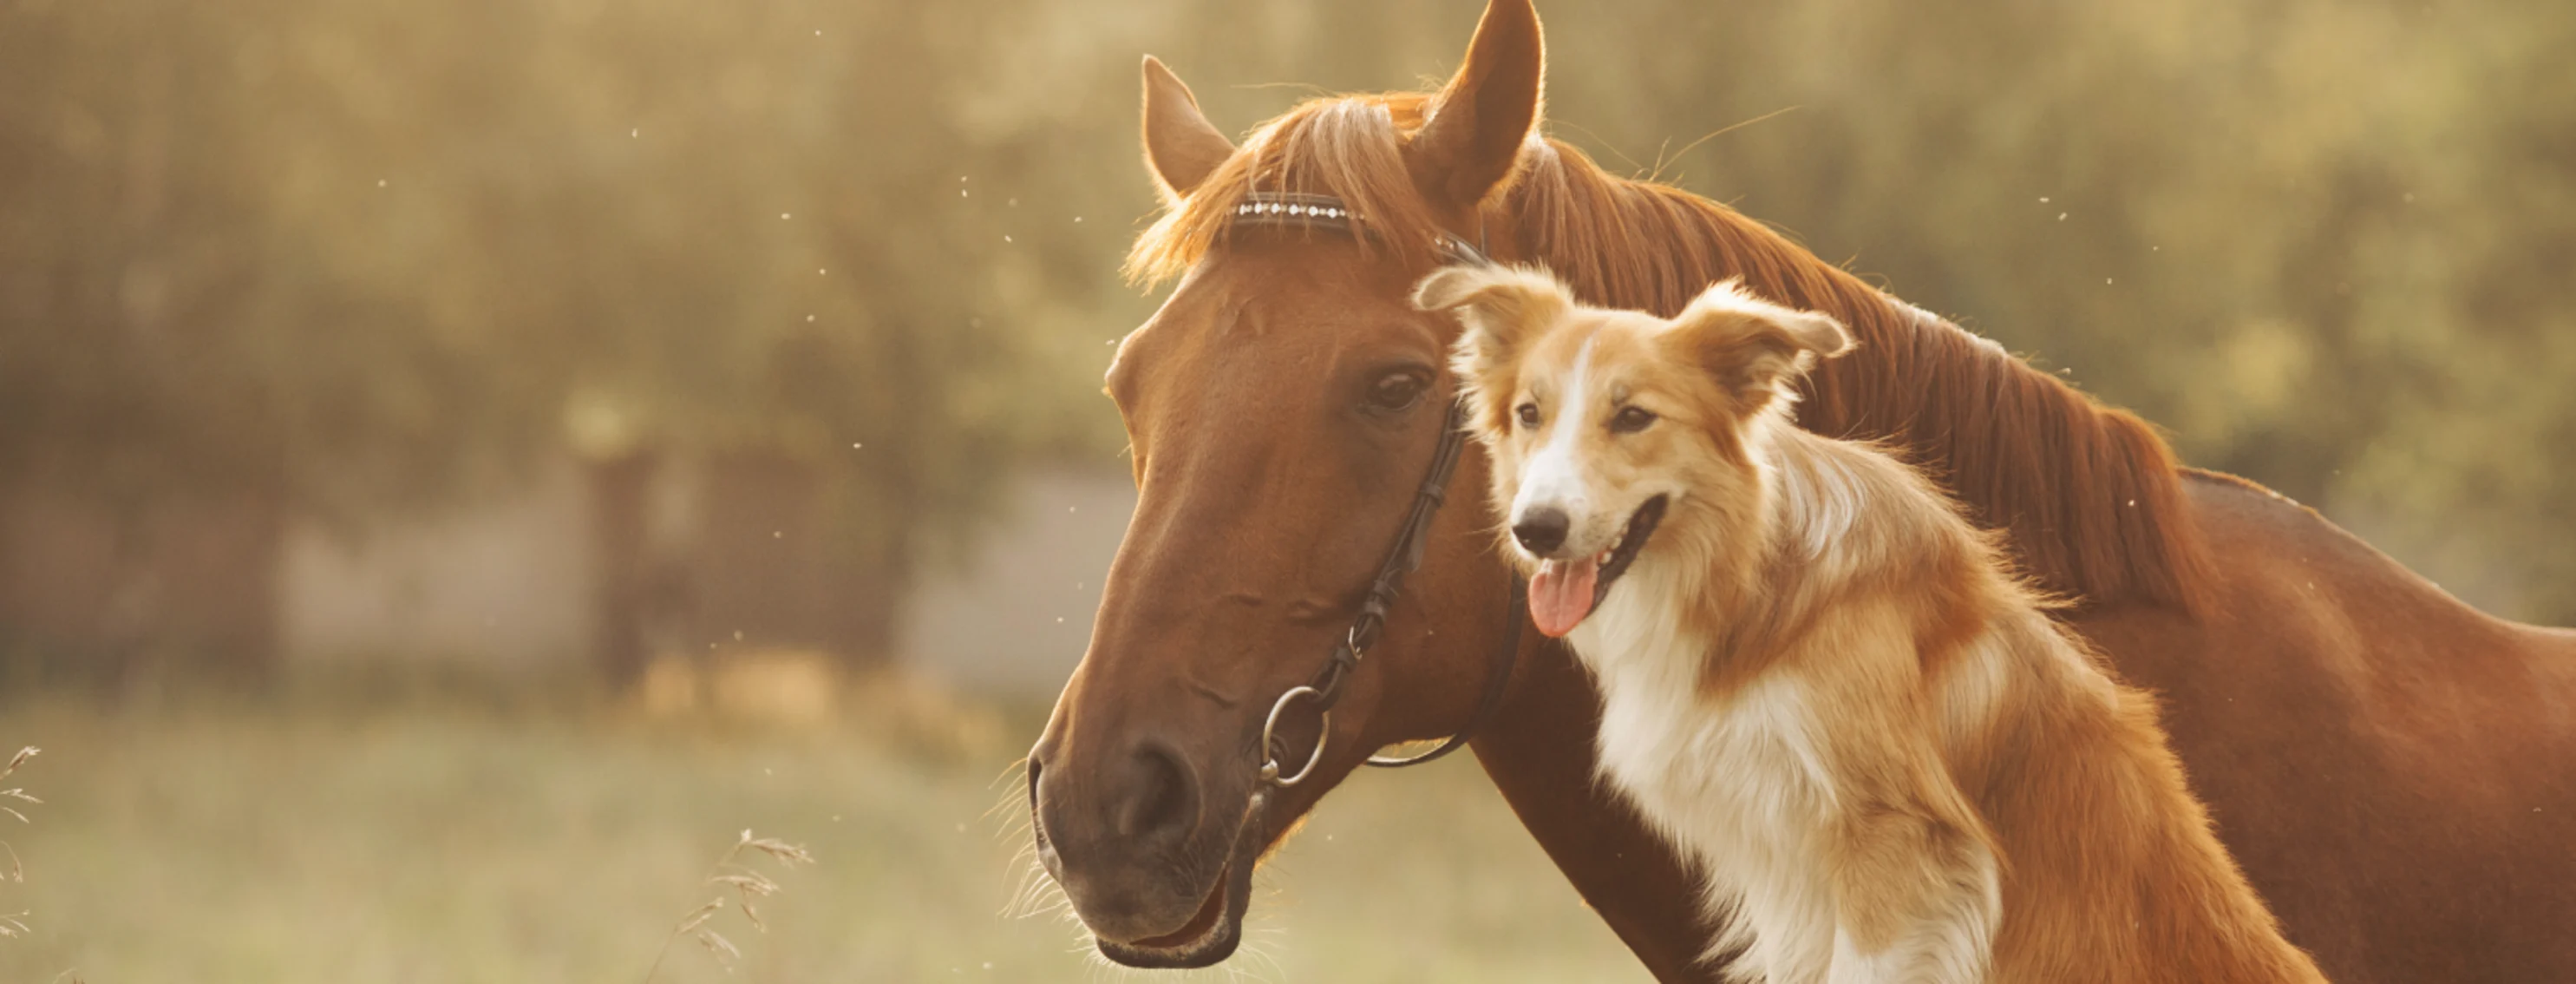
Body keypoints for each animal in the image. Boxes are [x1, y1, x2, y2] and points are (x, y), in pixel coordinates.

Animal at [1422, 262, 2328, 984]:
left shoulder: (1897, 852)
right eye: (1530, 414)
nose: (1535, 530)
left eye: (1634, 417)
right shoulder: (1786, 871)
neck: (1751, 584)